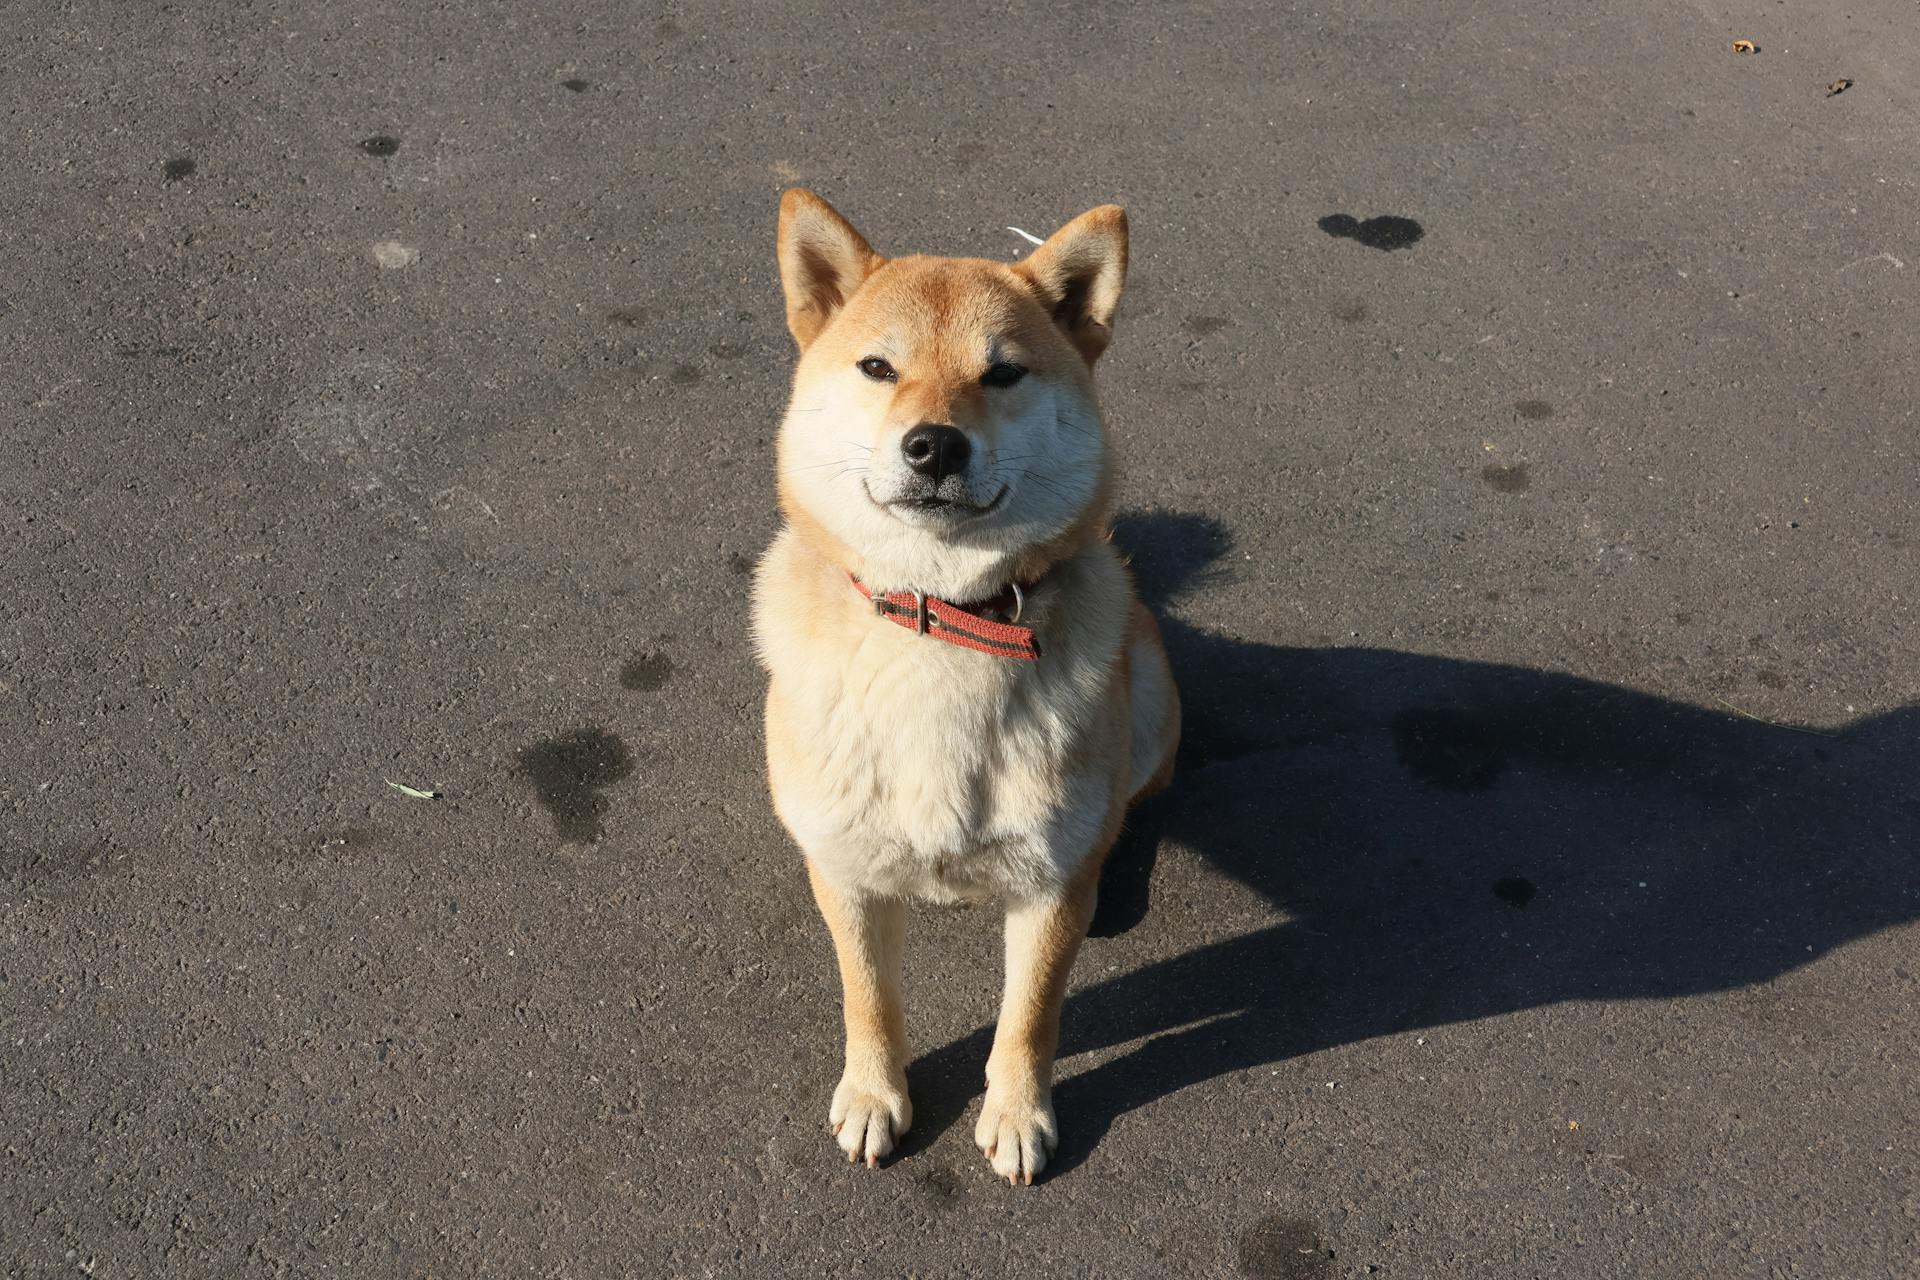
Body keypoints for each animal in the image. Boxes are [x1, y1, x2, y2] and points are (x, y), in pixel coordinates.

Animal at [752, 188, 1175, 1182]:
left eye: (1004, 373)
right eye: (877, 367)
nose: (935, 446)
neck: (944, 623)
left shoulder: (1050, 891)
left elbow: (1031, 1017)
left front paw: (1018, 1112)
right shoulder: (844, 871)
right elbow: (868, 998)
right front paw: (875, 1095)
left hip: (1149, 692)